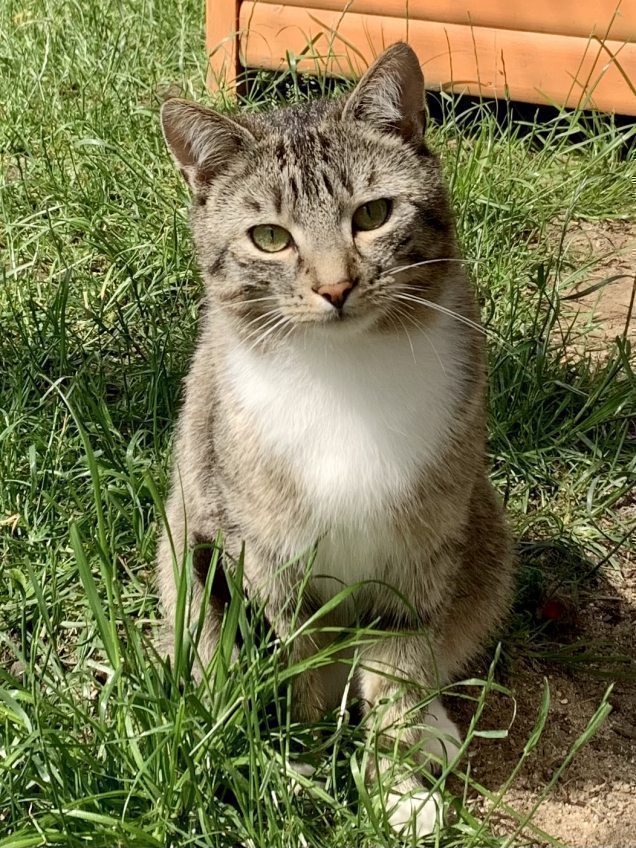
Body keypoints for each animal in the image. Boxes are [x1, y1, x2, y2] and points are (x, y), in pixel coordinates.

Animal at [158, 43, 512, 840]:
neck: (344, 372)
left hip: (486, 537)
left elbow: (398, 674)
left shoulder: (421, 553)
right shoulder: (269, 561)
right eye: (269, 237)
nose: (335, 288)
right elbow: (307, 673)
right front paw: (305, 770)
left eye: (374, 214)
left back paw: (435, 730)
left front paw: (398, 791)